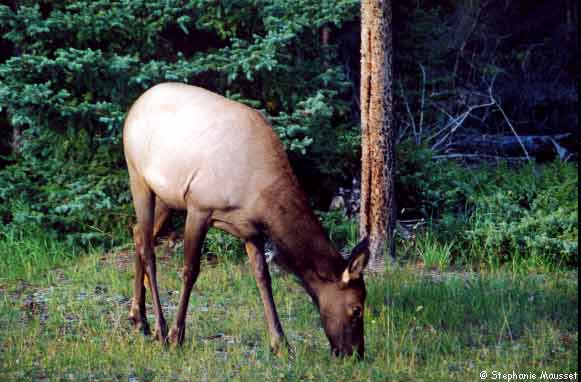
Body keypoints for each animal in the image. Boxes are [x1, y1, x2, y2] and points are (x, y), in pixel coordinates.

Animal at [122, 83, 370, 358]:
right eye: (357, 309)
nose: (356, 353)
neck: (262, 195)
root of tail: (138, 102)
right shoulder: (199, 207)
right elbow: (190, 271)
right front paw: (177, 336)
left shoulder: (251, 230)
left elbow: (264, 278)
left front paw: (280, 343)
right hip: (138, 177)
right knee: (148, 248)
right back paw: (159, 327)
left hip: (168, 198)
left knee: (138, 233)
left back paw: (138, 318)